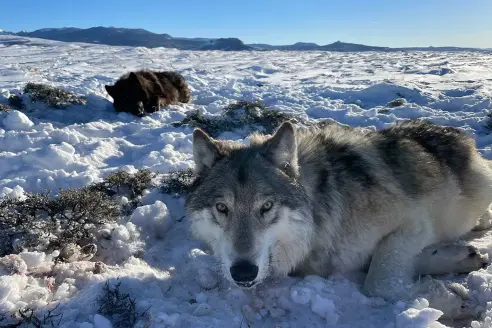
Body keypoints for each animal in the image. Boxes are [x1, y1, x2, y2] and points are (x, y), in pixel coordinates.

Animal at [184, 119, 492, 320]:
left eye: (267, 206)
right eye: (222, 208)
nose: (243, 272)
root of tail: (459, 134)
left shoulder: (413, 223)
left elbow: (379, 282)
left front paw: (449, 302)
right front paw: (451, 273)